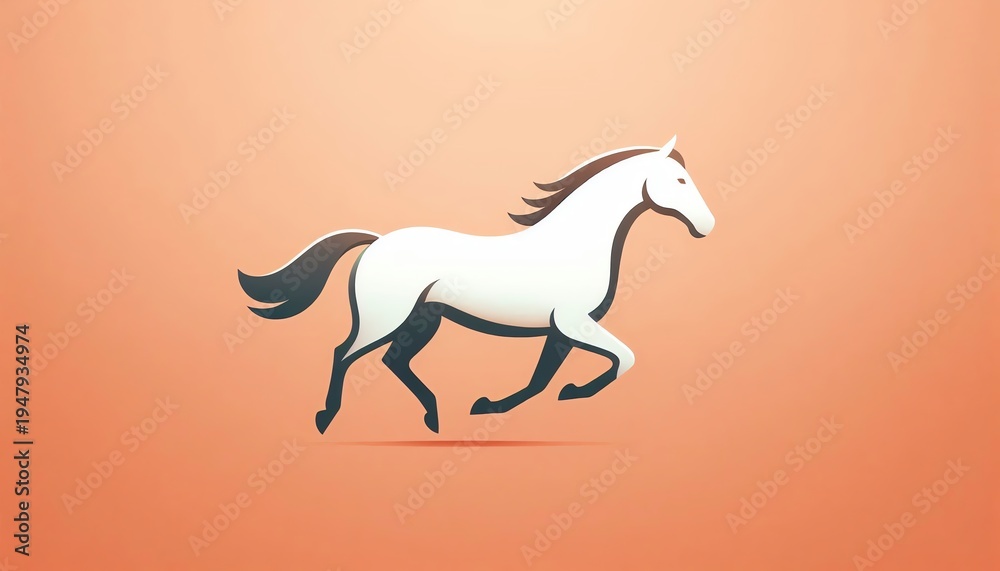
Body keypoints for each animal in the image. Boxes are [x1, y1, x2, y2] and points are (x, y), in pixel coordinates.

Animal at [238, 136, 715, 434]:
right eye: (679, 180)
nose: (707, 226)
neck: (576, 244)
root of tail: (376, 242)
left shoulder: (560, 330)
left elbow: (543, 380)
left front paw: (491, 404)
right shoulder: (573, 322)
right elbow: (624, 357)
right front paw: (574, 392)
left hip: (423, 320)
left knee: (394, 361)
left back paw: (434, 417)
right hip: (385, 318)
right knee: (345, 352)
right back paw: (325, 418)